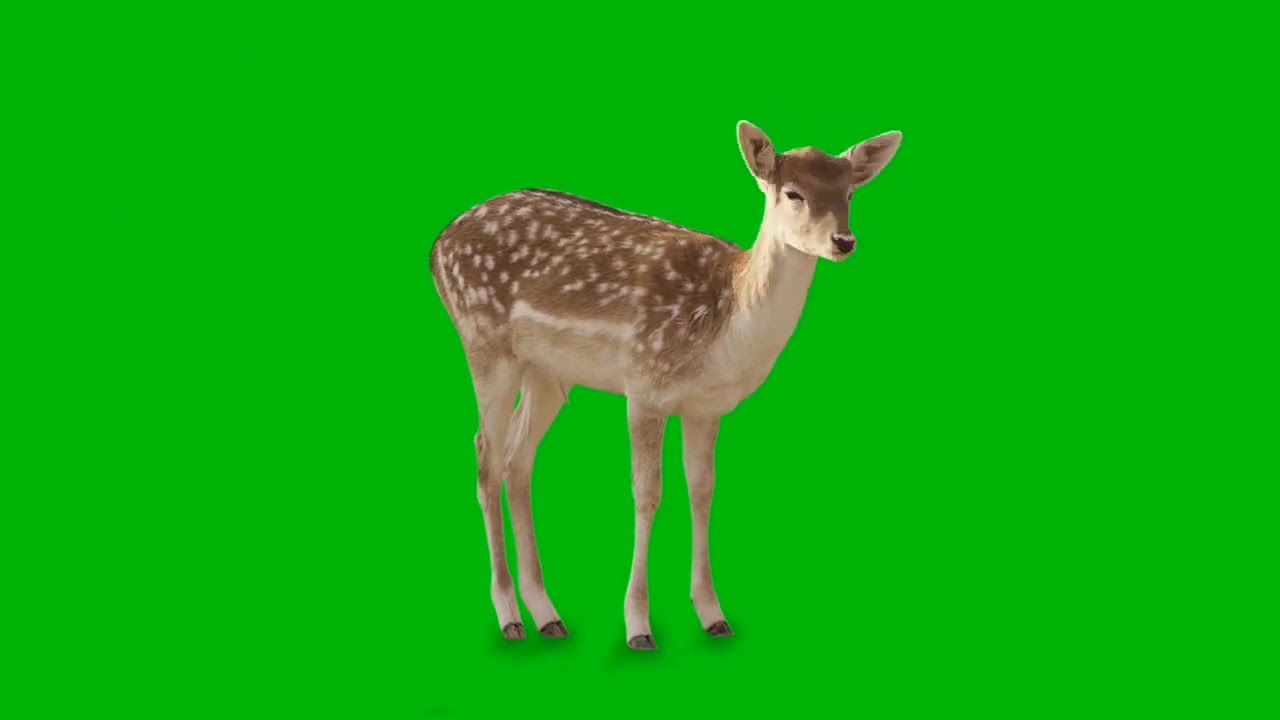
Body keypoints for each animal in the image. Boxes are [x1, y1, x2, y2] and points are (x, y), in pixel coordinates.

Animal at [429, 121, 902, 650]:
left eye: (849, 193)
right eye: (792, 192)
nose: (844, 240)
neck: (725, 332)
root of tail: (437, 246)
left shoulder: (706, 407)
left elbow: (703, 490)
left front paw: (714, 616)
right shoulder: (645, 383)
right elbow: (648, 492)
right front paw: (638, 627)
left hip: (546, 372)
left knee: (518, 459)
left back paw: (548, 615)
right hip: (483, 339)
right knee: (486, 456)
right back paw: (510, 617)